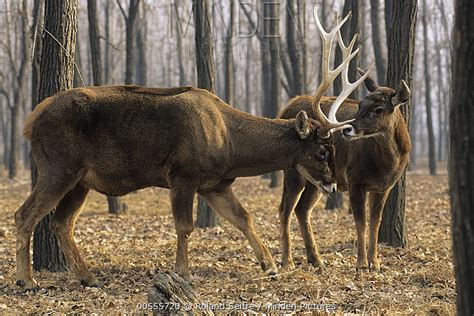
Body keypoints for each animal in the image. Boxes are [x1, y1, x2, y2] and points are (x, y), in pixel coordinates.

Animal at [12, 11, 370, 288]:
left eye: (332, 150)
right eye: (322, 150)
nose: (332, 184)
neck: (229, 144)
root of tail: (29, 122)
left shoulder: (215, 184)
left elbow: (244, 217)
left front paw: (269, 265)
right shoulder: (182, 173)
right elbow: (185, 226)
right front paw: (181, 273)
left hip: (81, 180)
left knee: (61, 222)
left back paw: (88, 277)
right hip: (59, 166)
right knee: (25, 214)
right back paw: (27, 281)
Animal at [278, 10, 412, 272]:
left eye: (379, 109)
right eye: (360, 104)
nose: (349, 129)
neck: (387, 164)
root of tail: (286, 107)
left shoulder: (384, 187)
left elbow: (375, 222)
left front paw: (375, 263)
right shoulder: (355, 179)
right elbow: (361, 223)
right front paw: (361, 264)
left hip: (318, 178)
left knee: (302, 209)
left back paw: (316, 259)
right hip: (293, 171)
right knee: (285, 209)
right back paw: (287, 261)